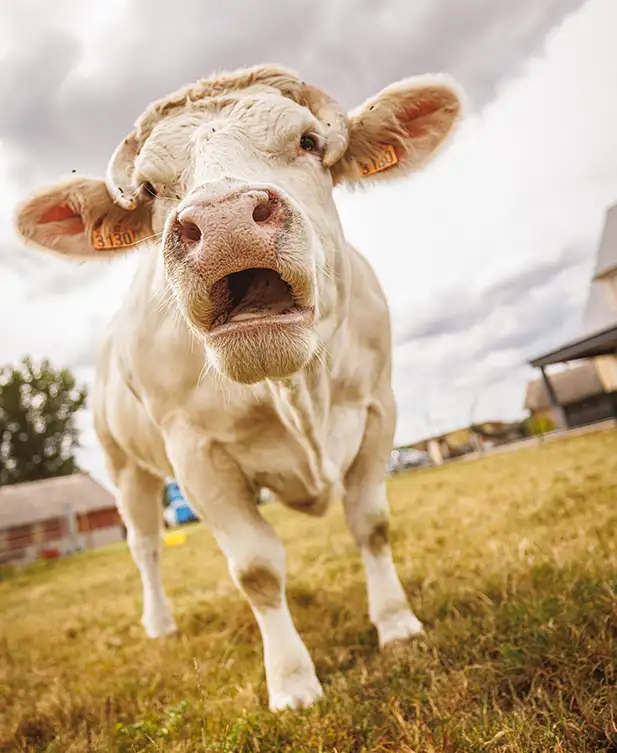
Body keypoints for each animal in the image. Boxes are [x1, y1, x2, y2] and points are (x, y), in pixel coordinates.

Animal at [13, 66, 462, 712]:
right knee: (145, 546)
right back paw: (160, 625)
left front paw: (397, 625)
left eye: (308, 141)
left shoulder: (380, 411)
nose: (224, 220)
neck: (296, 386)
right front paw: (293, 682)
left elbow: (371, 524)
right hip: (126, 467)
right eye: (149, 188)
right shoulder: (197, 455)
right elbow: (256, 569)